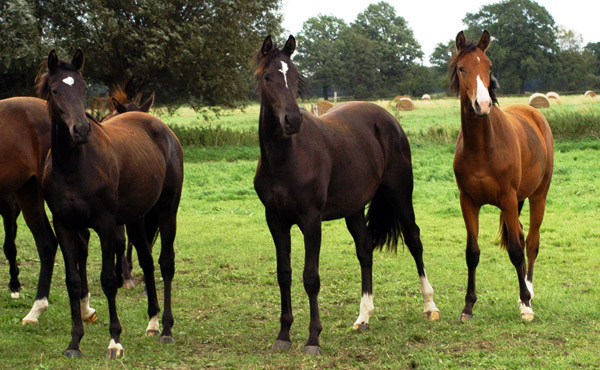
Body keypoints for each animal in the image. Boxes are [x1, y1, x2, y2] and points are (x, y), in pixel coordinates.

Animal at [37, 49, 183, 358]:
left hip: (167, 211)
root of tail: (163, 130)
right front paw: (74, 343)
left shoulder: (105, 224)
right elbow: (73, 281)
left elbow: (108, 280)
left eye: (83, 88)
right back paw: (152, 323)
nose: (81, 130)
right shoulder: (64, 225)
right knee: (147, 261)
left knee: (165, 263)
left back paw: (166, 329)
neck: (74, 166)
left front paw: (115, 340)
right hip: (138, 217)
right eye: (55, 90)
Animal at [253, 35, 440, 356]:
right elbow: (283, 273)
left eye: (295, 76)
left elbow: (311, 278)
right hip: (354, 209)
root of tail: (388, 119)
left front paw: (313, 339)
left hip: (400, 194)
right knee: (365, 249)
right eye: (268, 76)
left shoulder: (311, 221)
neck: (286, 158)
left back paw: (430, 306)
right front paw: (284, 334)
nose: (292, 120)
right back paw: (363, 317)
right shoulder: (275, 220)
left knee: (414, 240)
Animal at [450, 30, 552, 322]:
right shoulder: (468, 202)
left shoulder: (507, 198)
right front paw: (468, 307)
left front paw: (526, 305)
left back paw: (527, 292)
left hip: (537, 196)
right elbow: (472, 253)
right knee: (520, 234)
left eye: (488, 66)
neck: (483, 147)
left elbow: (517, 251)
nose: (482, 104)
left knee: (531, 242)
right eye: (462, 68)